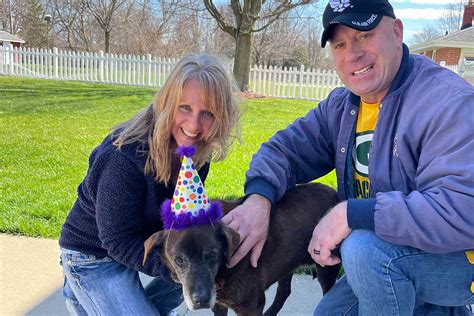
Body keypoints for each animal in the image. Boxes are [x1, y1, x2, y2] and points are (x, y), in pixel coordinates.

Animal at [143, 183, 338, 316]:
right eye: (179, 259)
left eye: (212, 255)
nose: (201, 300)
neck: (223, 269)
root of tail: (335, 193)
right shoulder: (219, 304)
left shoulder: (250, 306)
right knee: (284, 291)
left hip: (326, 267)